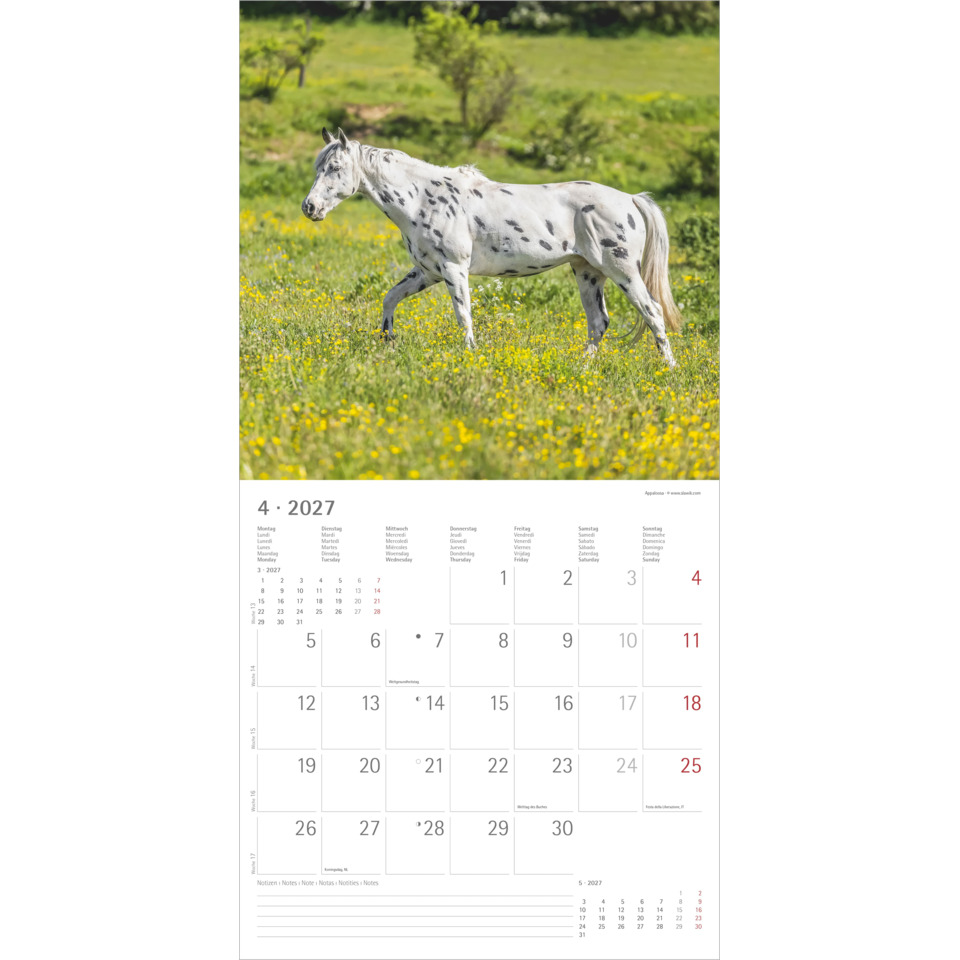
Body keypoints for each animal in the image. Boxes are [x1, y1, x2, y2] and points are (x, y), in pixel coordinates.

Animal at [301, 127, 681, 367]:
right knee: (598, 322)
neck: (423, 198)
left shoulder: (454, 269)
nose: (310, 208)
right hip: (587, 272)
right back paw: (582, 368)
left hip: (622, 271)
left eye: (334, 167)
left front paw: (470, 355)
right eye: (318, 166)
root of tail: (631, 199)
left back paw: (669, 368)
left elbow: (463, 315)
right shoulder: (427, 272)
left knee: (652, 312)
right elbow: (390, 298)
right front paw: (387, 340)